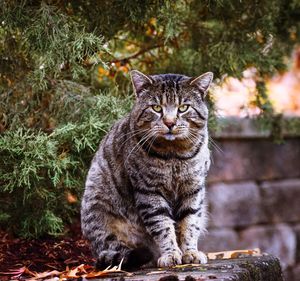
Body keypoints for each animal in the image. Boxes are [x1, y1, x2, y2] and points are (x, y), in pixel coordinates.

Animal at [81, 70, 213, 270]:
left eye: (183, 107)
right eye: (156, 108)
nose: (169, 122)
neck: (174, 155)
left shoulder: (193, 189)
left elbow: (190, 223)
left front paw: (190, 252)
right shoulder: (149, 191)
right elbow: (163, 226)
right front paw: (171, 254)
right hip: (99, 211)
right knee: (114, 248)